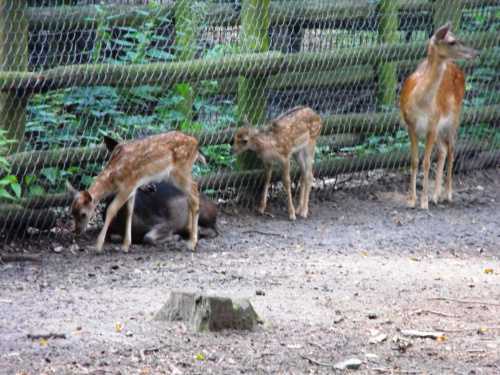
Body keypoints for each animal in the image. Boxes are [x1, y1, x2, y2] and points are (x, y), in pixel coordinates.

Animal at [65, 131, 200, 253]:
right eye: (71, 214)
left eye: (83, 214)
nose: (76, 230)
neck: (114, 177)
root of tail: (196, 142)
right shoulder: (132, 189)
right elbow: (129, 211)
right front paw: (125, 246)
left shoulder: (128, 185)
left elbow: (111, 209)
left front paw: (98, 247)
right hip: (171, 176)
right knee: (193, 190)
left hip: (181, 171)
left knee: (194, 191)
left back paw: (192, 244)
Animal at [398, 22, 480, 210]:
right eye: (452, 41)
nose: (476, 53)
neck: (421, 104)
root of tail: (458, 69)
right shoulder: (412, 125)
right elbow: (414, 161)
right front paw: (411, 200)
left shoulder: (433, 124)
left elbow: (427, 162)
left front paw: (424, 202)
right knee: (443, 150)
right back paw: (436, 195)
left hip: (454, 118)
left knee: (451, 149)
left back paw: (447, 195)